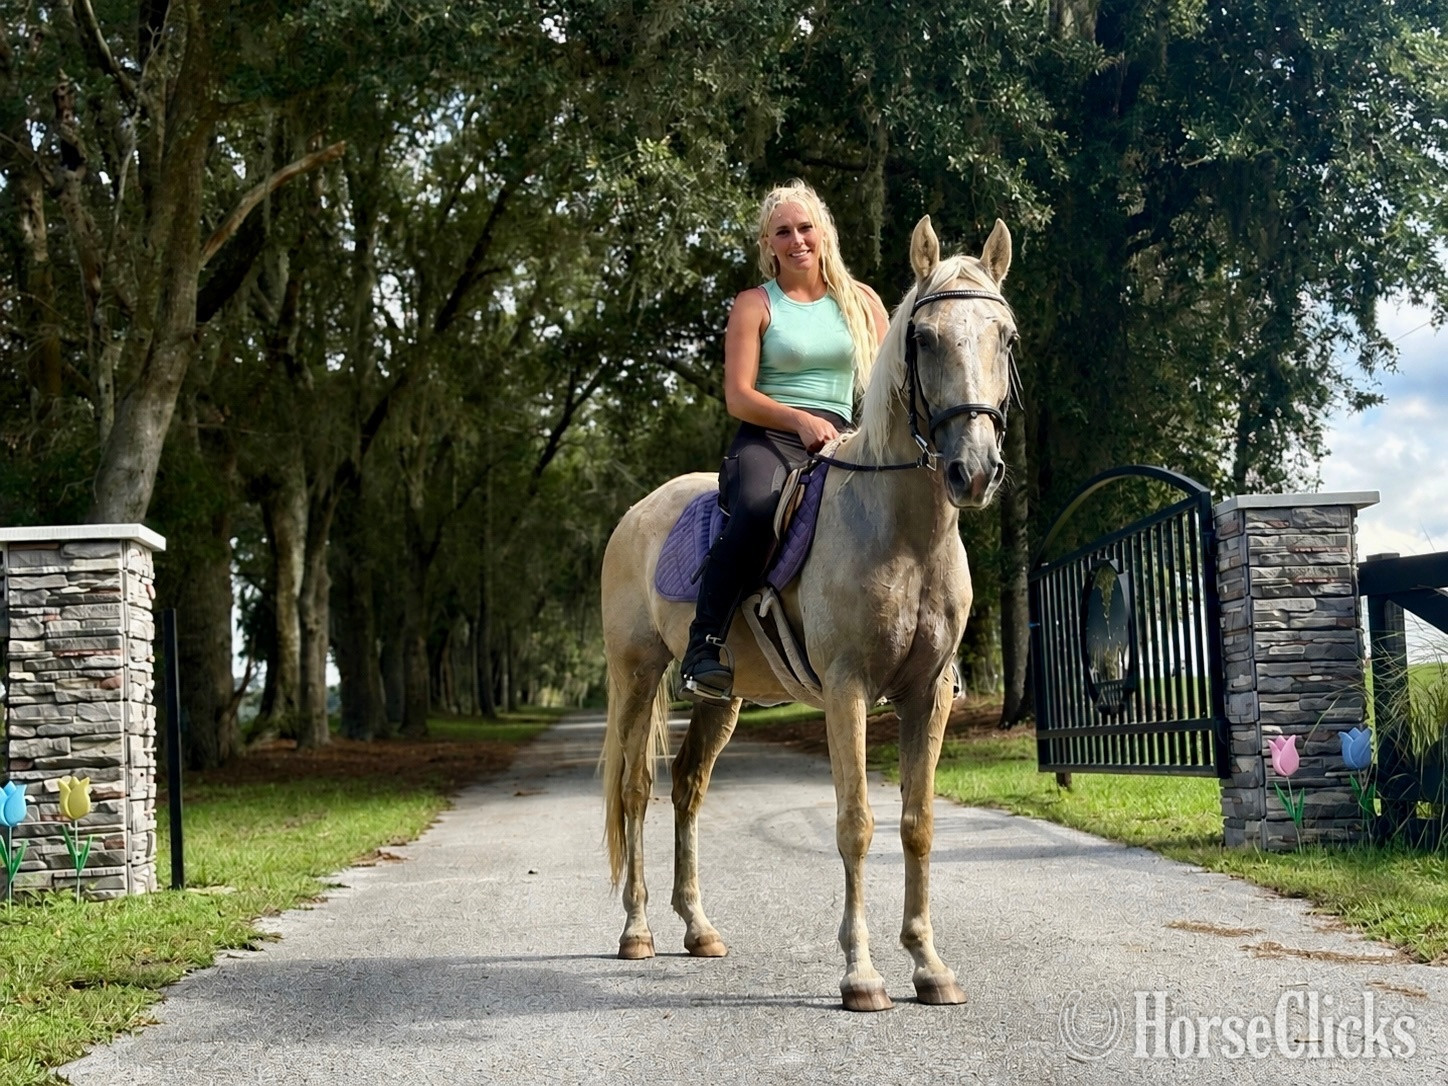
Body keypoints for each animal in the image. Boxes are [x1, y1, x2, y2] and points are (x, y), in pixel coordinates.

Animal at [599, 215, 1016, 1012]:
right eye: (924, 339)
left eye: (1004, 337)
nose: (973, 471)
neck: (903, 530)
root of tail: (638, 512)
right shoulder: (847, 689)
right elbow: (856, 823)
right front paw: (861, 975)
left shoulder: (929, 694)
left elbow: (917, 824)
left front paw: (929, 965)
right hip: (636, 674)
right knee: (636, 791)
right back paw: (636, 932)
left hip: (721, 696)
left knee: (688, 788)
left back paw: (698, 930)